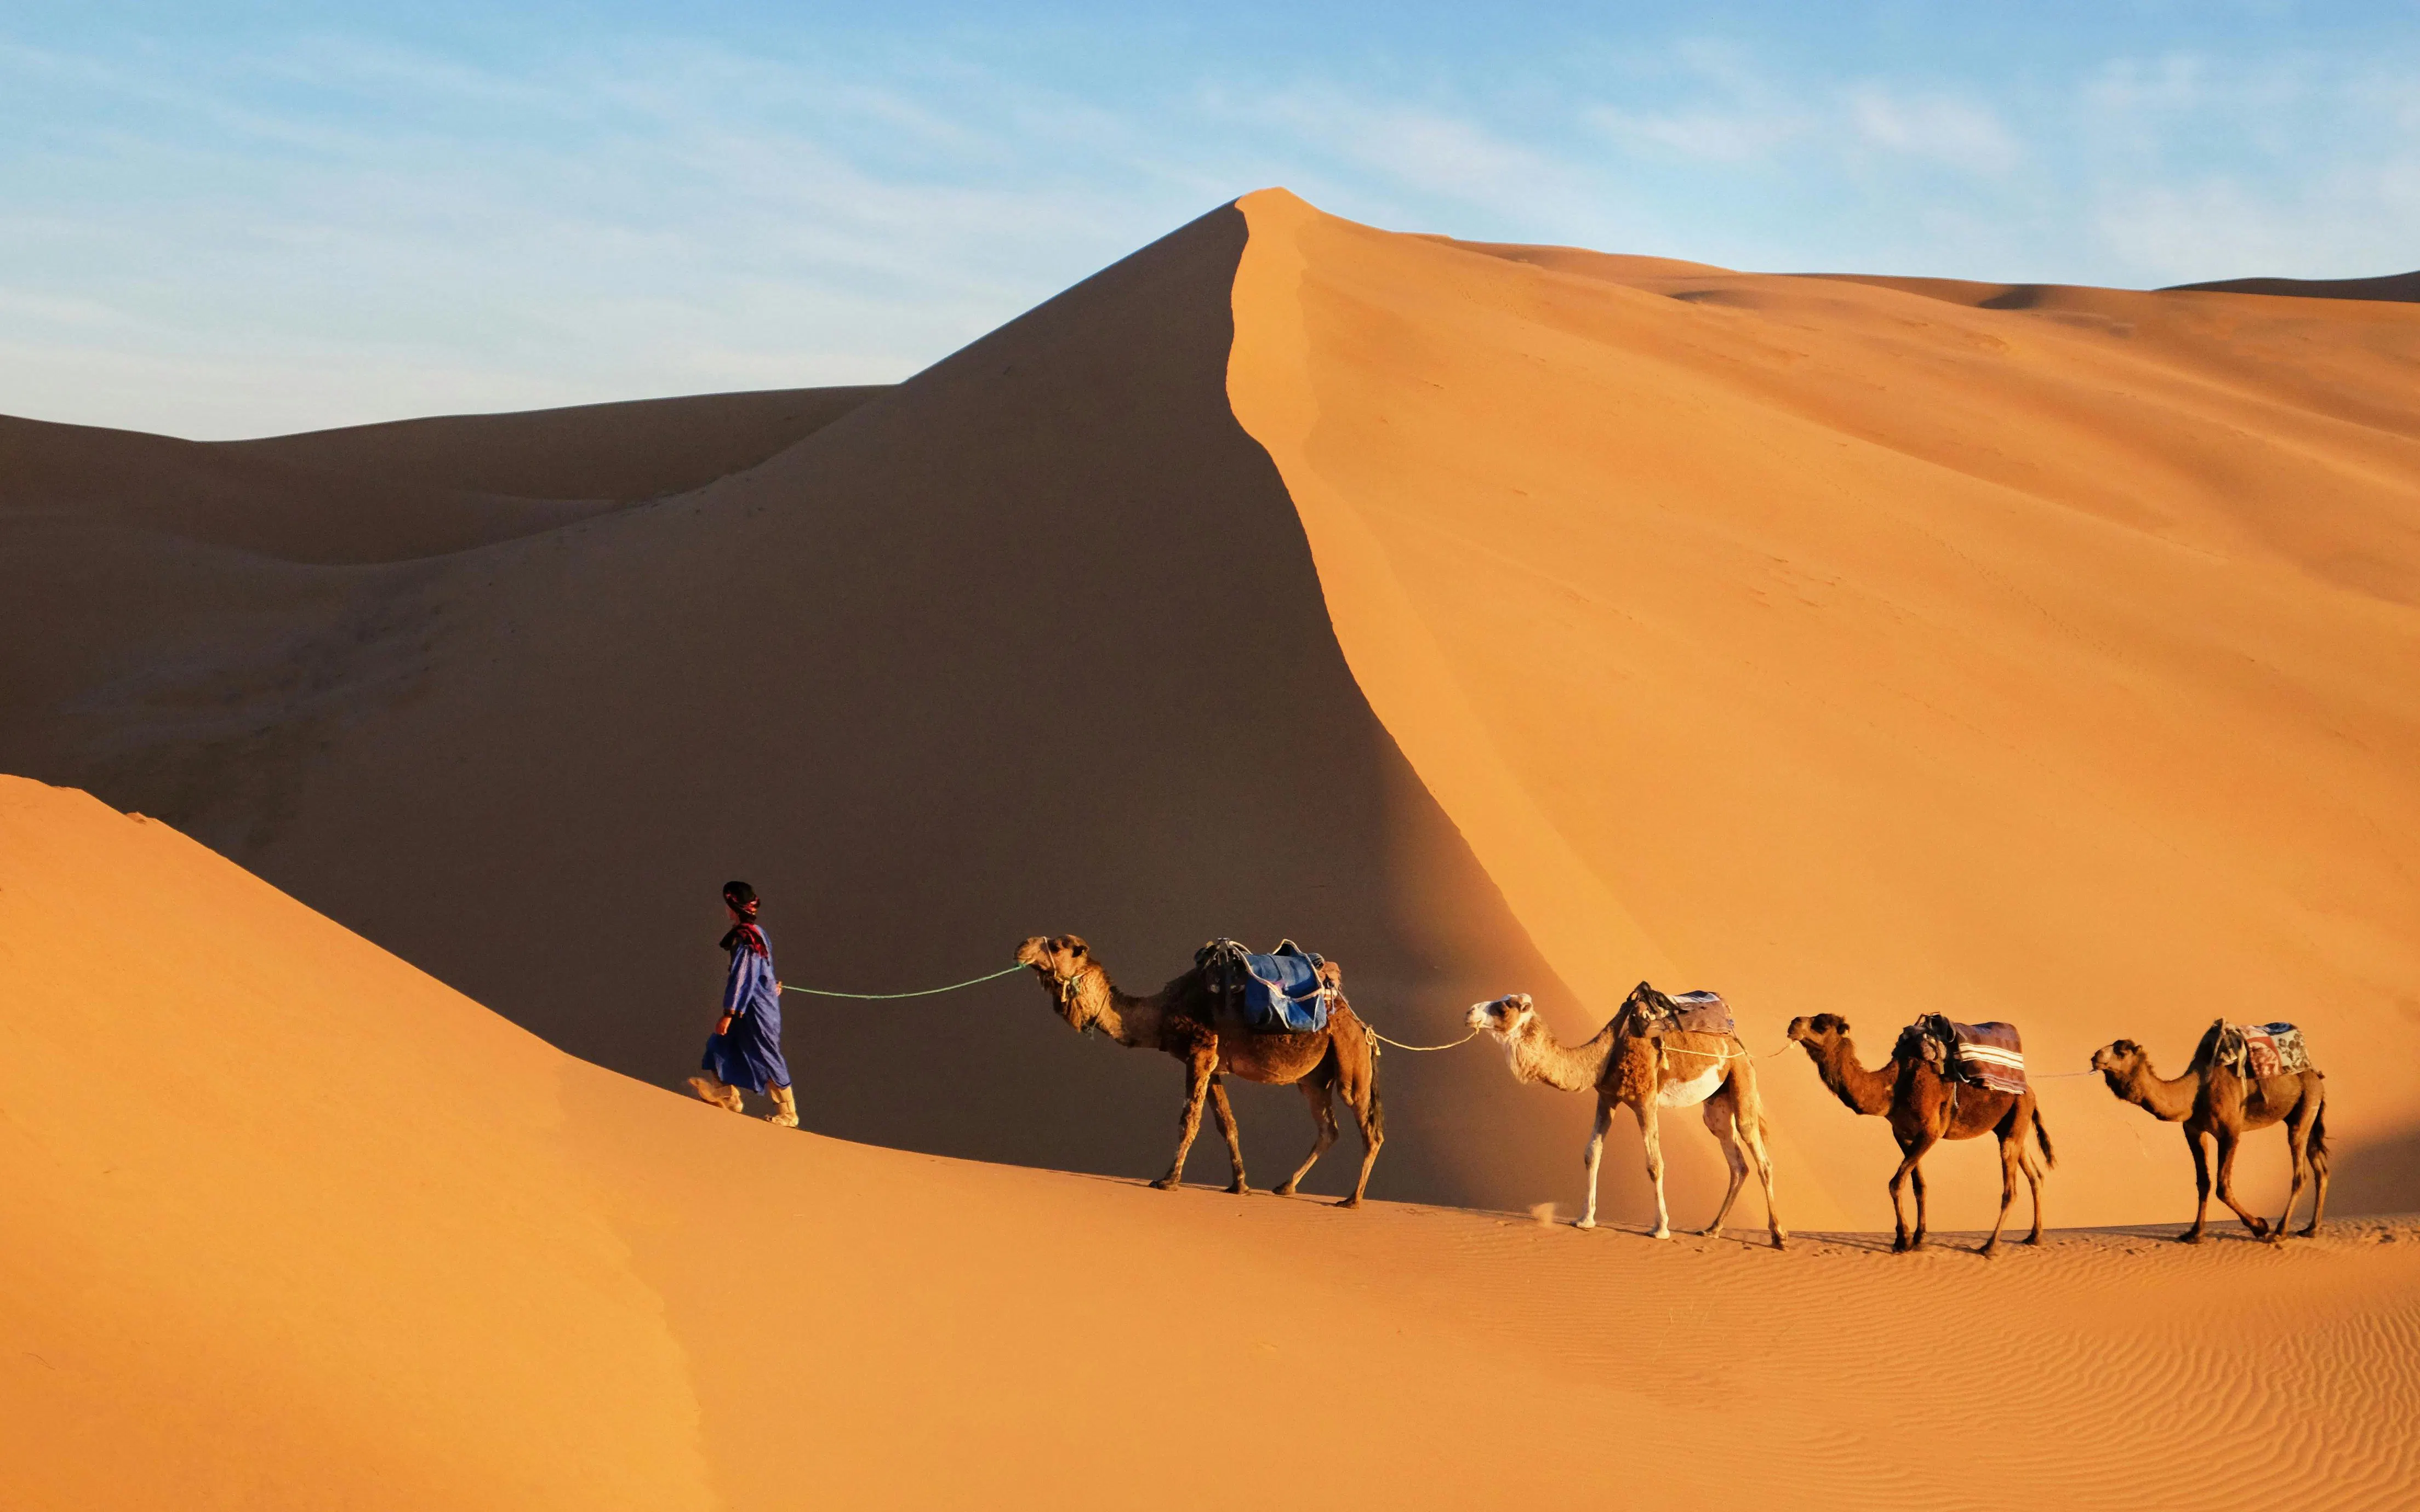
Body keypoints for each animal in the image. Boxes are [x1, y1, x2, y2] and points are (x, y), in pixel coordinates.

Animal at [1016, 934, 1383, 1205]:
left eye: (1057, 946)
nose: (1022, 946)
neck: (1161, 1012)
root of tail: (1364, 1027)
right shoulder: (1214, 1067)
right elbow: (1228, 1125)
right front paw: (1239, 1186)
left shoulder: (1199, 1053)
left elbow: (1188, 1120)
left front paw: (1168, 1179)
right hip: (1314, 1078)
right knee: (1328, 1129)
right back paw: (1286, 1187)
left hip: (1350, 1060)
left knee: (1369, 1127)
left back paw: (1352, 1200)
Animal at [1466, 984, 1787, 1248]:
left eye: (1503, 1007)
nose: (1470, 1012)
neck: (1608, 1051)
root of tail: (1737, 1041)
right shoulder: (1607, 1097)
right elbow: (1592, 1153)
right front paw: (1585, 1219)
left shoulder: (1645, 1101)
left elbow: (1655, 1164)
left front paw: (1661, 1229)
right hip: (1717, 1104)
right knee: (1737, 1162)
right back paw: (1712, 1229)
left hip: (1741, 1077)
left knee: (1760, 1155)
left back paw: (1778, 1236)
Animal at [1785, 1013, 2054, 1255]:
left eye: (1821, 1024)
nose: (1794, 1023)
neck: (1894, 1087)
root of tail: (2030, 1091)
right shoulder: (1903, 1134)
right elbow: (1919, 1185)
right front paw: (1919, 1239)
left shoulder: (1931, 1132)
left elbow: (1896, 1183)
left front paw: (1902, 1240)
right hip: (2012, 1129)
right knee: (2036, 1176)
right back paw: (2034, 1237)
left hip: (2014, 1123)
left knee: (2011, 1190)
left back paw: (1990, 1246)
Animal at [2090, 1021, 2328, 1243]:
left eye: (2121, 1051)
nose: (2095, 1057)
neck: (2195, 1092)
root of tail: (2316, 1075)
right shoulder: (2194, 1131)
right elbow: (2203, 1182)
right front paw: (2195, 1233)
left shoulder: (2231, 1132)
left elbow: (2223, 1186)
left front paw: (2260, 1226)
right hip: (2305, 1116)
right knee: (2321, 1169)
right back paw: (2311, 1229)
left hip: (2307, 1104)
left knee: (2300, 1173)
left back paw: (2280, 1231)